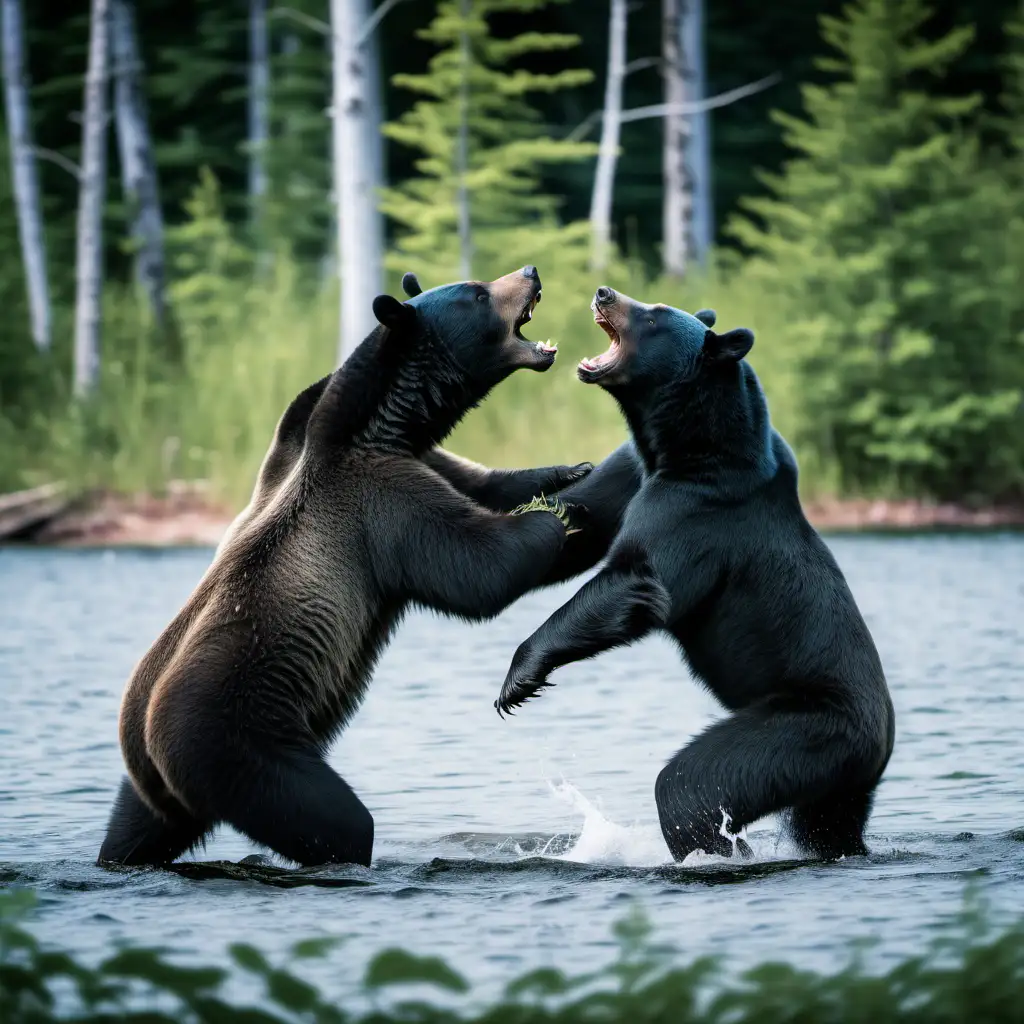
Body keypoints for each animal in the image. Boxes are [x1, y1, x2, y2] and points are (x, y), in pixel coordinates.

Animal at [96, 266, 606, 872]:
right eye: (480, 293)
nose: (528, 273)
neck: (385, 426)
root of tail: (142, 747)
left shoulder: (338, 447)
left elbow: (482, 483)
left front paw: (567, 470)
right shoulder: (378, 503)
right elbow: (474, 566)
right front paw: (554, 518)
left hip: (155, 787)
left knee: (135, 829)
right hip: (233, 738)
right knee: (331, 817)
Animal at [495, 288, 897, 864]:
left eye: (652, 315)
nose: (605, 293)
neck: (685, 445)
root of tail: (883, 741)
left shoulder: (693, 510)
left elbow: (636, 581)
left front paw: (519, 678)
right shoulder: (632, 470)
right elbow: (580, 523)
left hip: (813, 730)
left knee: (692, 787)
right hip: (835, 781)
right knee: (823, 824)